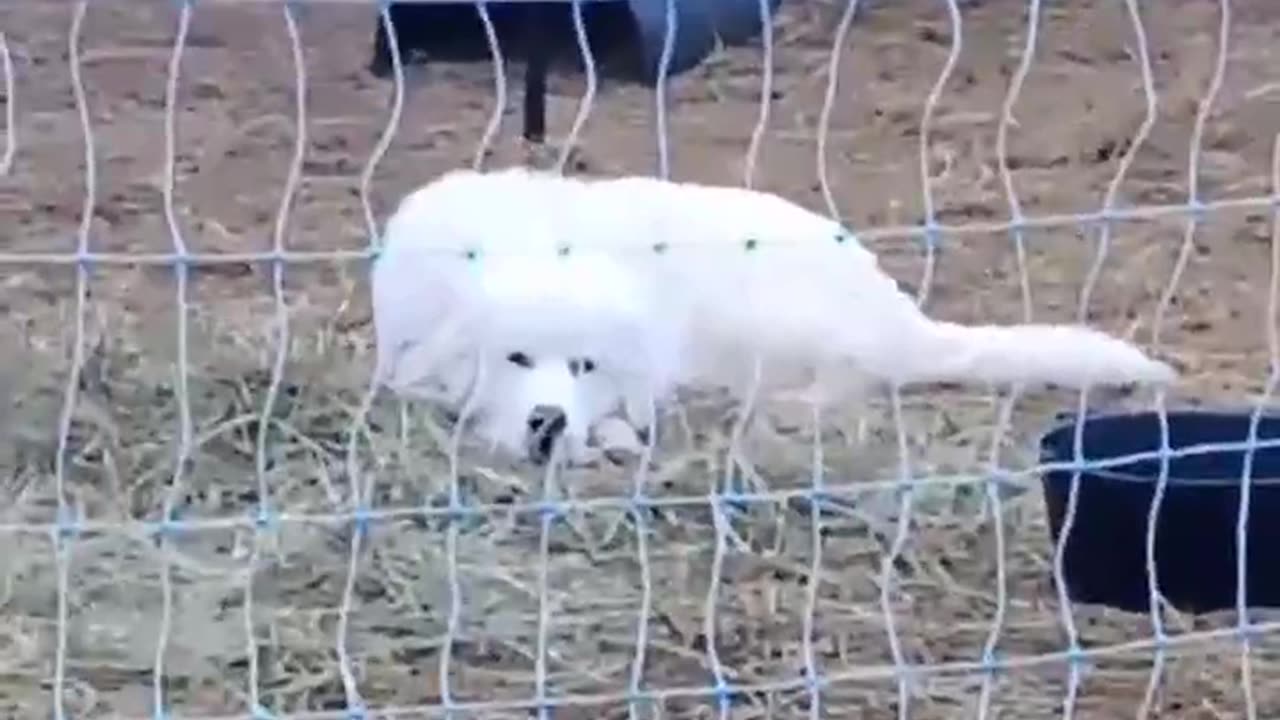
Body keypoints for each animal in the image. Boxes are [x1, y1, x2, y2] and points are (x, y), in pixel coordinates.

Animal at [366, 165, 1172, 461]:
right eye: (516, 359)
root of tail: (900, 314)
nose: (549, 421)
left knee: (847, 387)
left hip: (752, 318)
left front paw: (612, 433)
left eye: (584, 366)